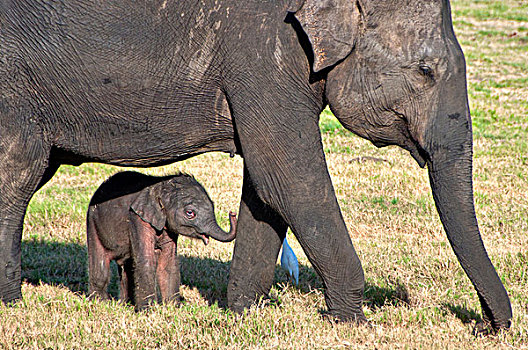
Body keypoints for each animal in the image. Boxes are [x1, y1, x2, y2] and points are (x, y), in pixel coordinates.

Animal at [87, 171, 237, 310]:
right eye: (190, 213)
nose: (233, 213)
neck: (160, 186)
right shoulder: (138, 219)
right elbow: (146, 260)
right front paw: (148, 311)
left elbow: (168, 262)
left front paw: (174, 308)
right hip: (93, 223)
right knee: (100, 266)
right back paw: (101, 303)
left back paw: (125, 304)